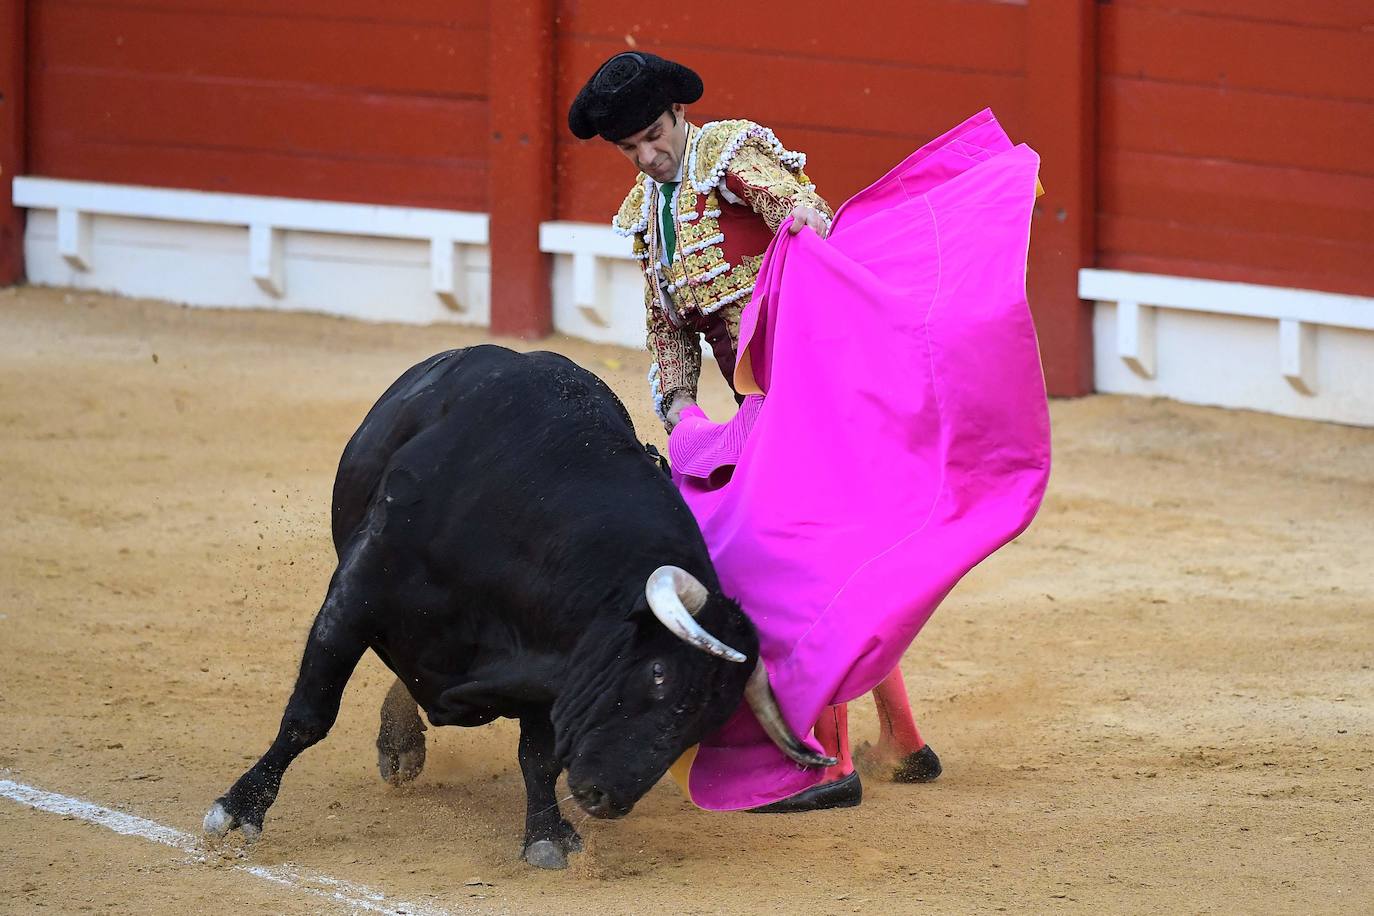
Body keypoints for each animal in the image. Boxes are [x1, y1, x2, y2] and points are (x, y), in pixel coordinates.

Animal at [200, 343, 829, 867]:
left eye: (711, 716)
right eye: (657, 673)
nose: (607, 798)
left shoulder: (554, 669)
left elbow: (540, 757)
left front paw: (547, 837)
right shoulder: (353, 599)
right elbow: (309, 716)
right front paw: (238, 811)